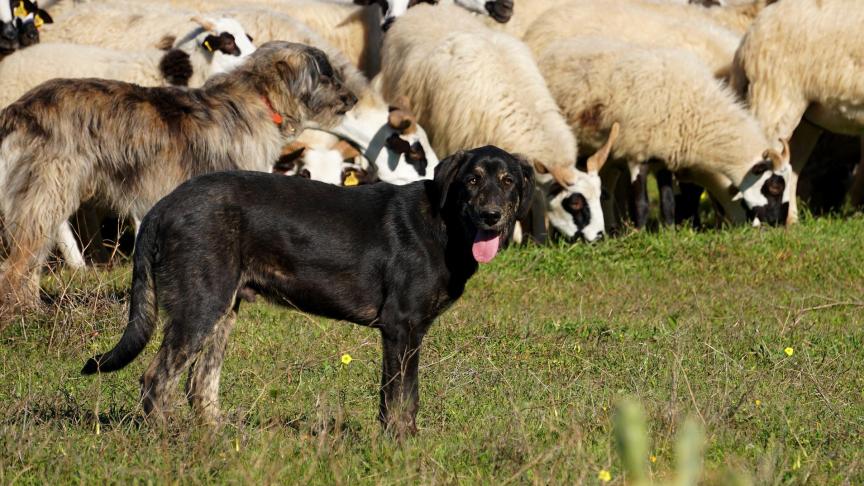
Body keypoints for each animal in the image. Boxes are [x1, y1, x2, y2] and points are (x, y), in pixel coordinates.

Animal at [82, 145, 532, 432]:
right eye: (472, 180)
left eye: (508, 180)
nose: (491, 216)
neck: (445, 223)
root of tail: (164, 205)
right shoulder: (400, 328)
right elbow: (399, 400)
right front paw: (399, 448)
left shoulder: (408, 332)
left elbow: (406, 398)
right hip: (200, 307)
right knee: (156, 380)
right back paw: (168, 441)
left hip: (222, 311)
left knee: (200, 385)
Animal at [540, 37, 796, 226]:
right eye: (774, 186)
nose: (776, 223)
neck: (696, 112)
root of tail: (552, 49)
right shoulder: (637, 154)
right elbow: (641, 203)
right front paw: (640, 233)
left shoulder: (662, 156)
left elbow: (668, 203)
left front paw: (670, 231)